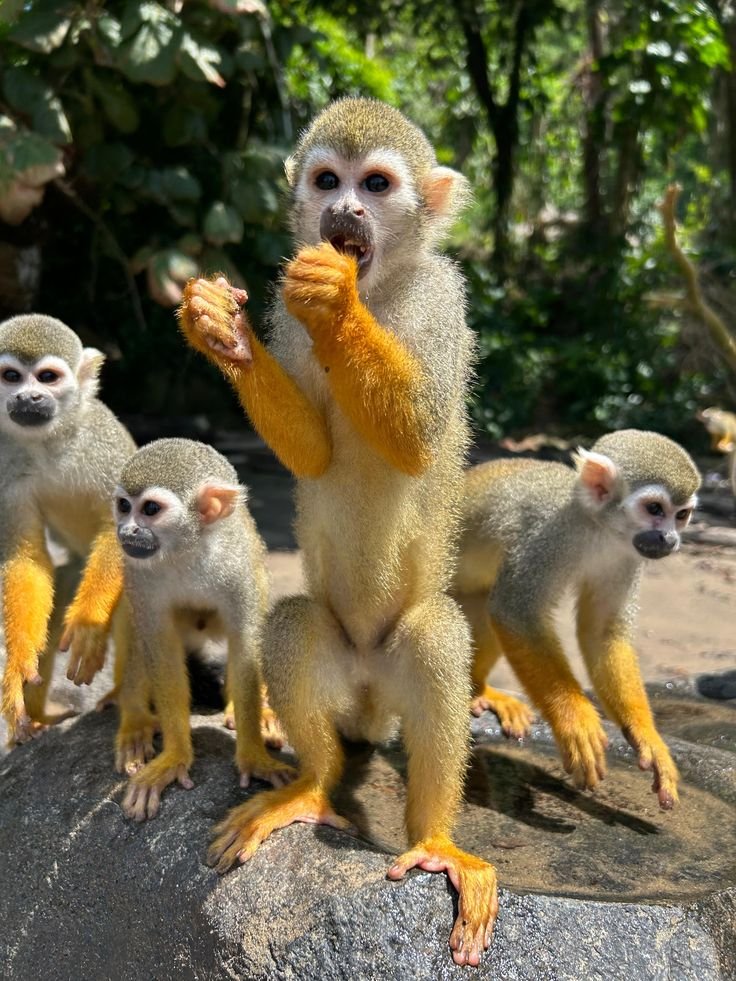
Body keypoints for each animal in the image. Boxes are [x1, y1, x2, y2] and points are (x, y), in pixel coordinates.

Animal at [0, 313, 155, 767]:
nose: (29, 397)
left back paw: (125, 700)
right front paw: (18, 662)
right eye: (11, 377)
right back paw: (33, 723)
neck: (47, 441)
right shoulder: (3, 460)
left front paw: (88, 624)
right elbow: (26, 557)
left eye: (47, 377)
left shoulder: (101, 440)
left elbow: (120, 531)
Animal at [115, 438, 295, 821]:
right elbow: (159, 647)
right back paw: (135, 719)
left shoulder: (236, 566)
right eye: (123, 506)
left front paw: (254, 756)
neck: (189, 550)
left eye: (150, 509)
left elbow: (246, 646)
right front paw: (174, 757)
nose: (126, 531)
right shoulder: (138, 571)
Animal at [177, 98, 498, 968]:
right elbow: (313, 452)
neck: (383, 284)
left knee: (434, 636)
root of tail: (367, 700)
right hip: (341, 675)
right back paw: (311, 784)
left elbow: (417, 438)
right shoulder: (286, 310)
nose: (345, 212)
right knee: (293, 622)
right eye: (328, 180)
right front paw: (221, 330)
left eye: (376, 185)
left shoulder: (445, 298)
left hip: (393, 674)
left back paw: (436, 840)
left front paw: (337, 300)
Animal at [453, 429, 701, 810]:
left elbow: (602, 632)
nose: (669, 539)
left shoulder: (625, 555)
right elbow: (516, 612)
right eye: (655, 509)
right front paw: (575, 719)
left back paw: (479, 688)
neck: (597, 526)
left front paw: (646, 734)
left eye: (682, 514)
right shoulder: (547, 536)